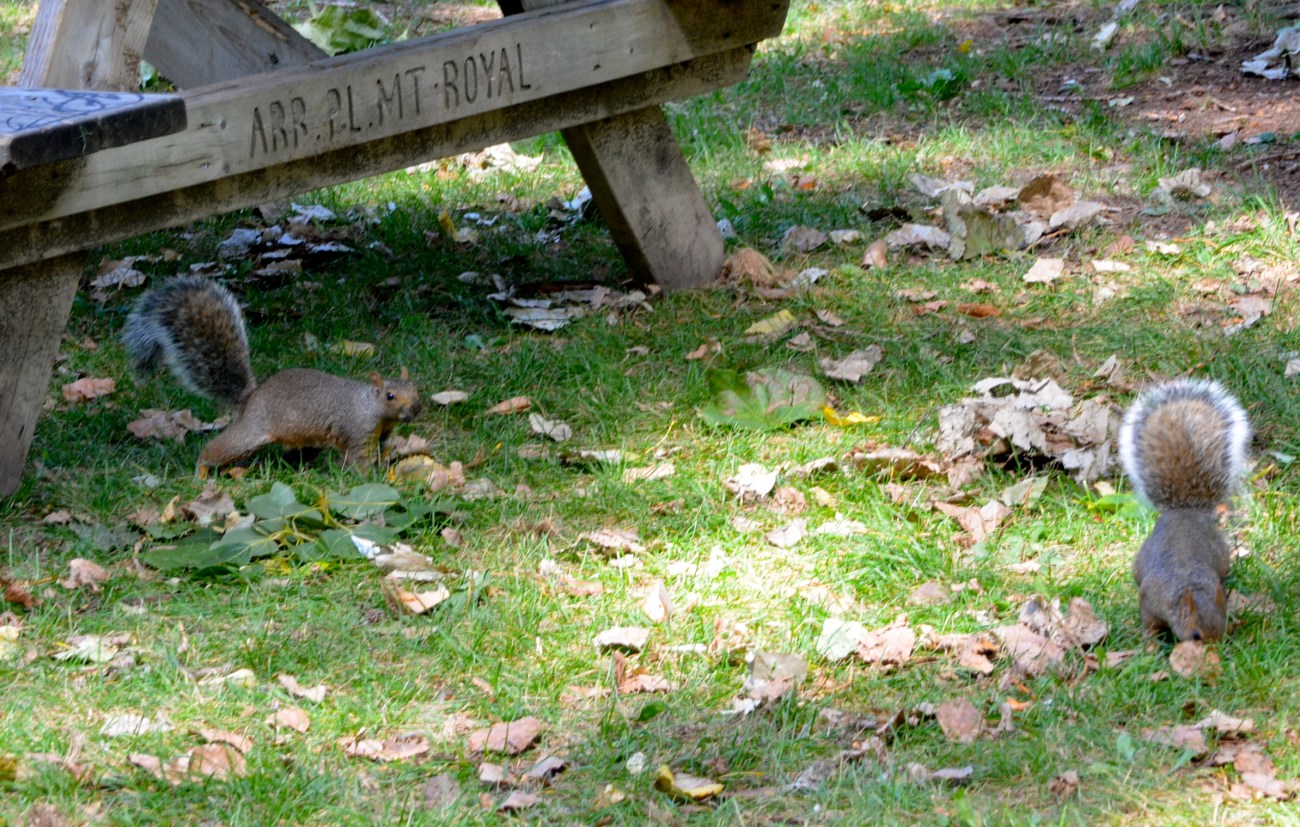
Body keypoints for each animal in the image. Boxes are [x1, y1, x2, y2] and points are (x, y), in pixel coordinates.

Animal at [122, 274, 421, 475]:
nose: (415, 409)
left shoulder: (383, 435)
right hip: (251, 432)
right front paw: (369, 479)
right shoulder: (356, 430)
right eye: (390, 395)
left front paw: (387, 470)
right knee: (217, 449)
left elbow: (383, 451)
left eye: (416, 390)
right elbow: (359, 460)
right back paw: (201, 472)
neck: (371, 408)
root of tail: (250, 398)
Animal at [1118, 377, 1248, 642]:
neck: (1188, 586)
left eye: (1224, 629)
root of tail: (1185, 510)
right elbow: (1148, 621)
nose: (1216, 650)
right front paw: (1150, 642)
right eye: (1196, 635)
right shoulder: (1150, 598)